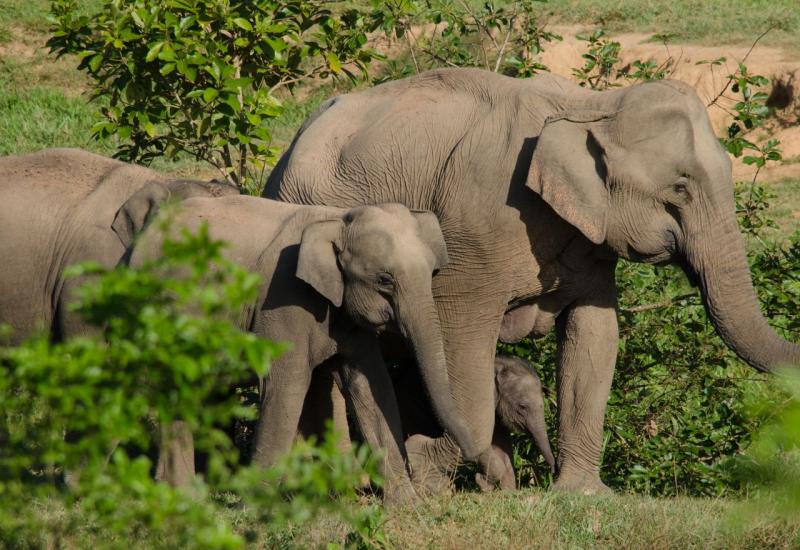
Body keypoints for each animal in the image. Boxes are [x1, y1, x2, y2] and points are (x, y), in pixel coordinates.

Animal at [132, 196, 478, 506]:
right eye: (384, 279)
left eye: (432, 272)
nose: (476, 455)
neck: (338, 218)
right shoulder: (284, 300)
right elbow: (287, 384)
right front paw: (254, 507)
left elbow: (371, 387)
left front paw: (407, 506)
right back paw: (182, 497)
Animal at [264, 67, 800, 494]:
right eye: (681, 188)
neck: (590, 106)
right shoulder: (475, 233)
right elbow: (463, 339)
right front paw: (430, 472)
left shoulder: (589, 243)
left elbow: (595, 336)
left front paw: (582, 495)